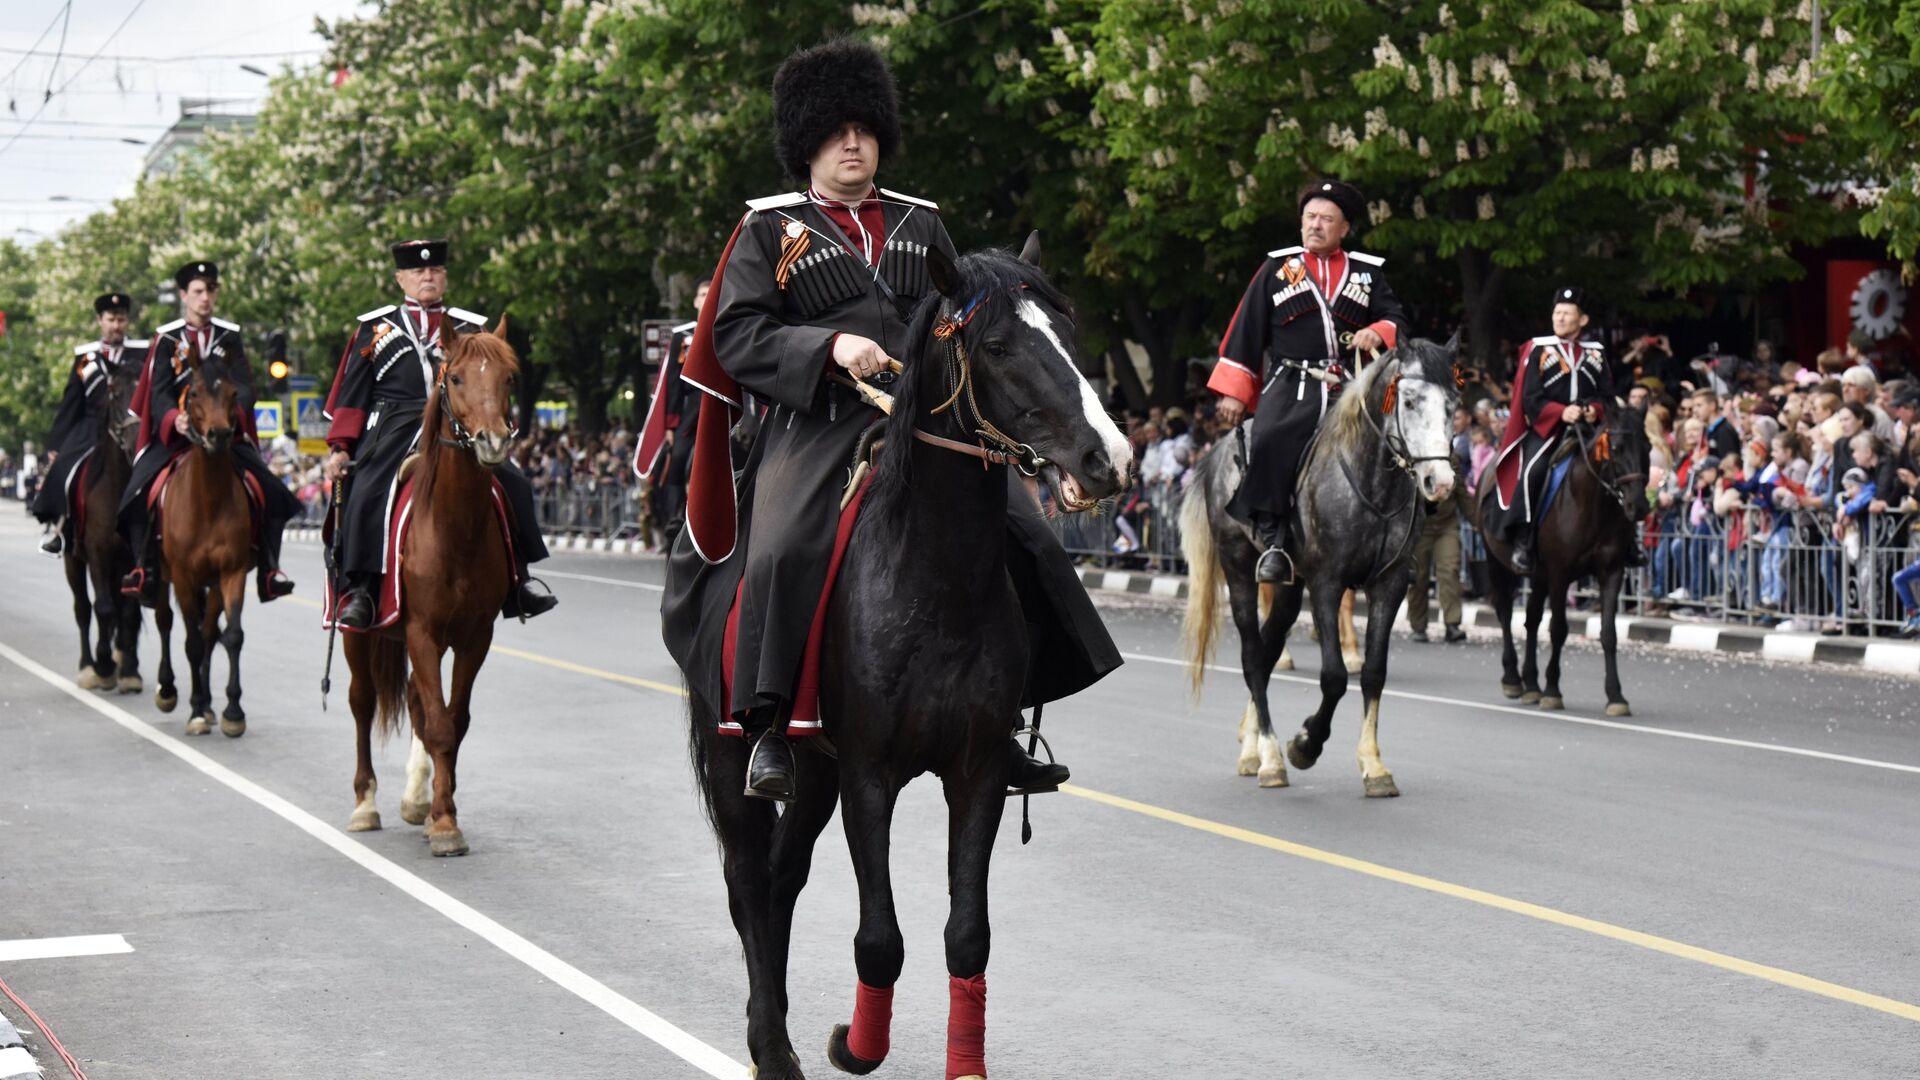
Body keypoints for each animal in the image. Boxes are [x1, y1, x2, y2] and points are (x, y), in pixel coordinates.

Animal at [158, 349, 259, 734]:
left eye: (233, 393)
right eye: (196, 393)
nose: (218, 435)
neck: (208, 504)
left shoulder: (231, 573)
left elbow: (230, 636)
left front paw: (232, 710)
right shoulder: (183, 577)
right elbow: (189, 641)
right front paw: (197, 711)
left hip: (212, 584)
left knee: (207, 632)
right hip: (160, 575)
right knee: (165, 621)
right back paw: (169, 690)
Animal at [339, 315, 514, 853]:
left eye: (509, 378)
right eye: (455, 378)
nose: (493, 442)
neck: (456, 530)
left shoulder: (475, 636)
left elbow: (452, 721)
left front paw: (440, 808)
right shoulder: (422, 631)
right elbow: (438, 724)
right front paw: (445, 824)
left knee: (417, 700)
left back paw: (416, 797)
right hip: (357, 635)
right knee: (362, 702)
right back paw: (365, 803)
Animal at [679, 237, 1128, 1076]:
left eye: (1066, 331)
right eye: (997, 346)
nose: (1107, 457)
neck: (934, 581)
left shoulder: (977, 772)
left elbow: (968, 936)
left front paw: (965, 1062)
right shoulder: (869, 775)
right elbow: (880, 940)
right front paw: (855, 1047)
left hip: (814, 769)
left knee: (783, 876)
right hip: (737, 756)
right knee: (749, 881)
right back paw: (770, 1044)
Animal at [1182, 340, 1451, 795]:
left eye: (1452, 404)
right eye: (1410, 400)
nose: (1441, 482)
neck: (1371, 484)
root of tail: (1218, 451)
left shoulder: (1390, 584)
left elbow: (1373, 673)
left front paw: (1373, 765)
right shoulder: (1327, 582)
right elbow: (1334, 676)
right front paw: (1305, 744)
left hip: (1290, 587)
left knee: (1269, 650)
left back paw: (1253, 744)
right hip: (1239, 570)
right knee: (1252, 655)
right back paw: (1269, 757)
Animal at [1474, 403, 1643, 714]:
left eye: (1648, 446)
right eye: (1616, 447)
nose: (1638, 505)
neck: (1593, 505)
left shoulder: (1611, 571)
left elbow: (1608, 633)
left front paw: (1615, 696)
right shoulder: (1559, 574)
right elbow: (1558, 629)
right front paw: (1553, 690)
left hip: (1539, 575)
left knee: (1531, 618)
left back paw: (1531, 684)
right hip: (1497, 563)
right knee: (1505, 612)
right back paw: (1513, 678)